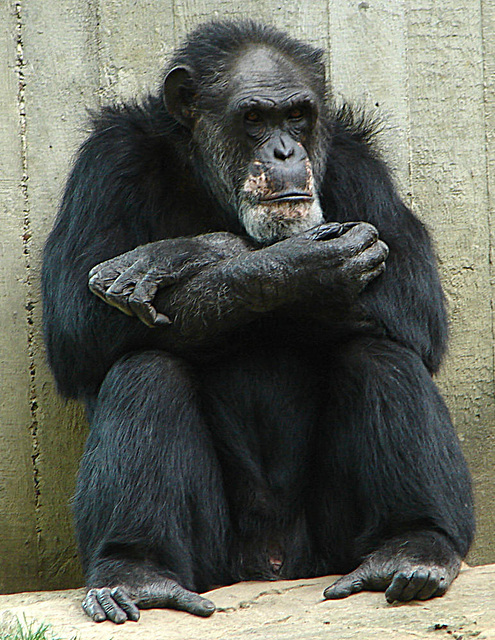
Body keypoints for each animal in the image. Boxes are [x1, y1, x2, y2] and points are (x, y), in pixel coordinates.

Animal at [42, 21, 476, 624]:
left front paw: (187, 252)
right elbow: (74, 325)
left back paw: (414, 547)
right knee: (145, 370)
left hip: (330, 548)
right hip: (215, 560)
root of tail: (272, 566)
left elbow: (415, 298)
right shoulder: (106, 161)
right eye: (253, 118)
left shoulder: (360, 161)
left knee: (380, 351)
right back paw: (138, 570)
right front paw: (282, 262)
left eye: (296, 115)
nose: (285, 149)